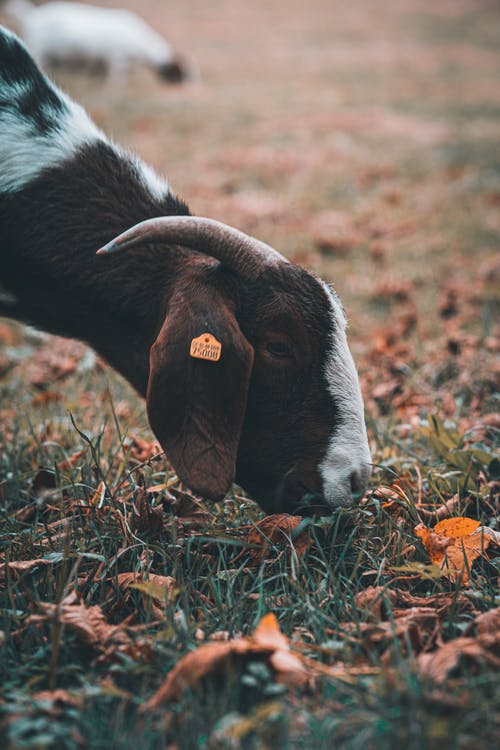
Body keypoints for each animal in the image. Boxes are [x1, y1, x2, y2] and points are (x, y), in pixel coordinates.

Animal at [3, 0, 191, 83]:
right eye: (179, 70)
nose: (190, 83)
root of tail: (30, 16)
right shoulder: (116, 59)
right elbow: (116, 78)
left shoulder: (102, 62)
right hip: (38, 49)